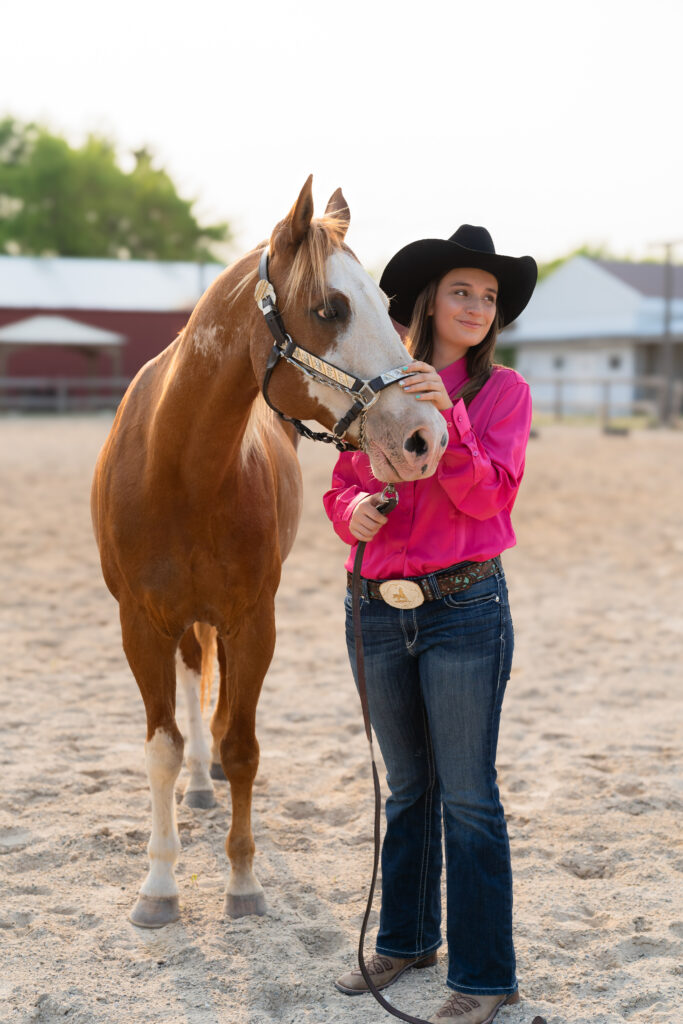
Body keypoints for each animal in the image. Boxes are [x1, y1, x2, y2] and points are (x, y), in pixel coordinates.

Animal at [90, 176, 448, 929]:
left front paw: (243, 881)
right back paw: (198, 788)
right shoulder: (140, 624)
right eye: (330, 308)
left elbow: (244, 746)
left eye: (384, 305)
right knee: (194, 685)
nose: (426, 438)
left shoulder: (255, 621)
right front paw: (158, 888)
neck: (183, 471)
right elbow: (162, 748)